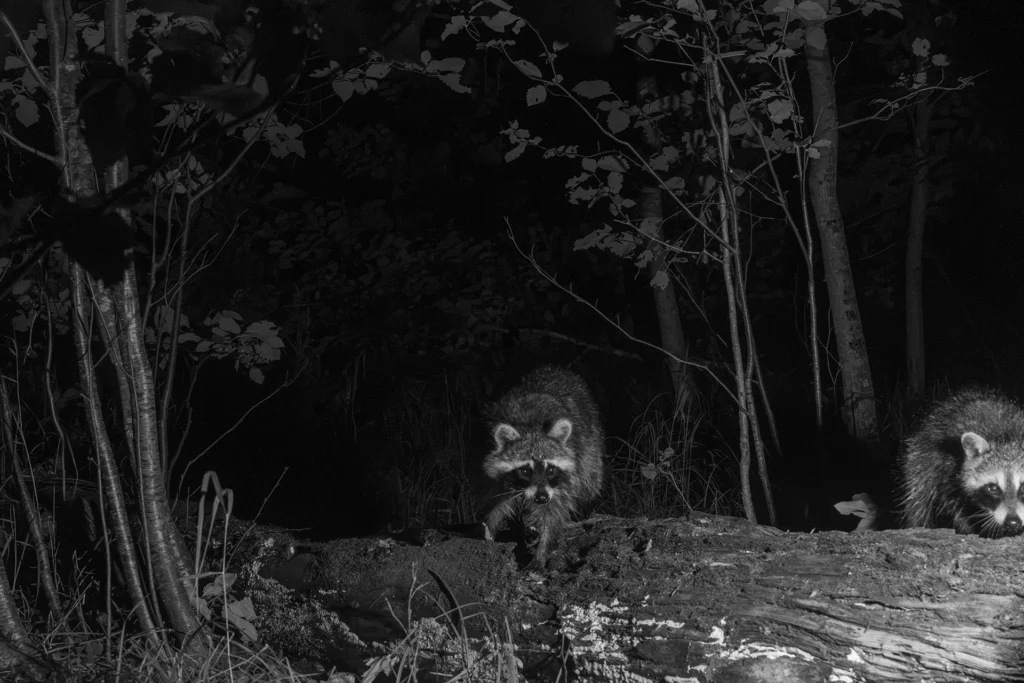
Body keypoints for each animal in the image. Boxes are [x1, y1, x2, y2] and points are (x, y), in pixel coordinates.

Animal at [479, 365, 605, 568]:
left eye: (551, 469)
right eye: (524, 470)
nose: (541, 497)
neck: (530, 427)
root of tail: (555, 368)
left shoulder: (561, 480)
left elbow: (554, 510)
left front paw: (542, 549)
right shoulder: (489, 467)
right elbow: (495, 502)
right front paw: (488, 531)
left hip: (591, 444)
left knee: (590, 478)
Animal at [899, 388, 1024, 538]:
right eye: (993, 488)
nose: (1013, 522)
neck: (1007, 436)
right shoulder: (947, 468)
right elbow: (959, 509)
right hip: (921, 457)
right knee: (919, 501)